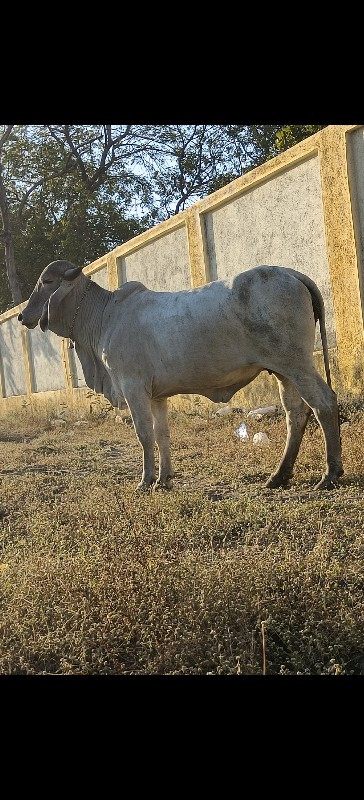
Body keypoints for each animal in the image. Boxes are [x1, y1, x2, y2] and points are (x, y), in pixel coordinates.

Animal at [18, 260, 344, 490]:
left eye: (47, 282)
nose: (22, 316)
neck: (105, 315)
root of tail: (290, 273)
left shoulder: (133, 387)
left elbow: (144, 435)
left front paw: (146, 481)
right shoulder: (157, 396)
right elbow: (162, 434)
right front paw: (165, 478)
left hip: (297, 364)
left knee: (324, 403)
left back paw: (330, 474)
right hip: (282, 371)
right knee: (295, 414)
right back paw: (278, 476)